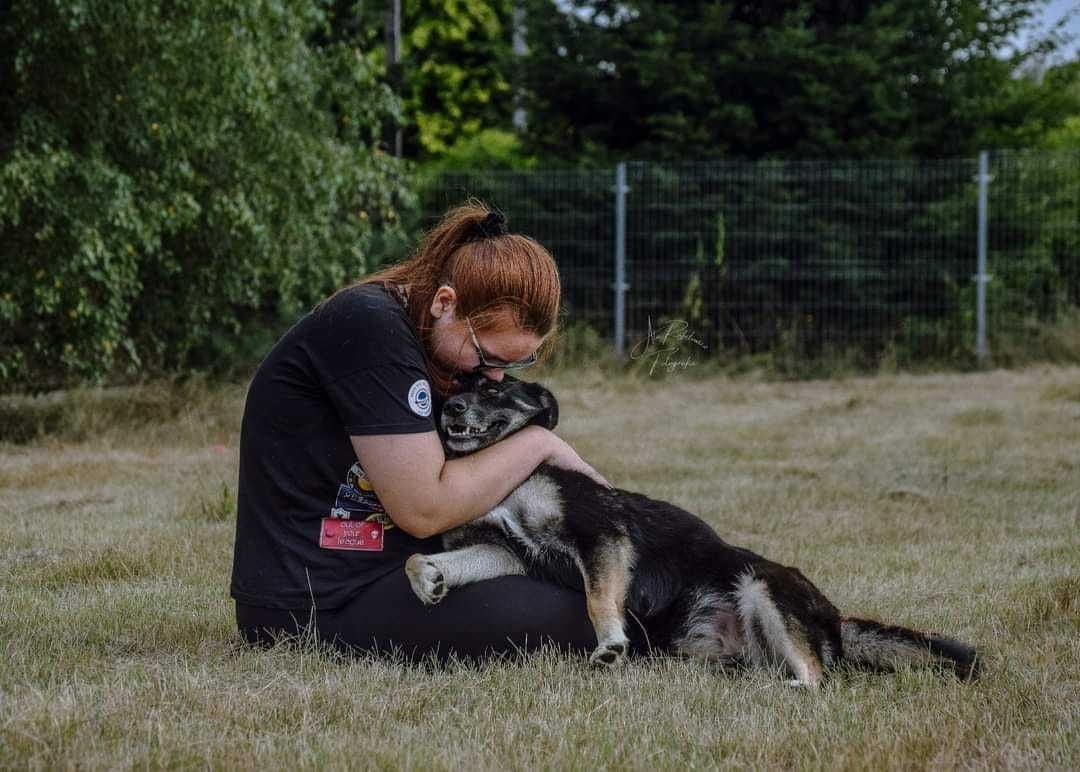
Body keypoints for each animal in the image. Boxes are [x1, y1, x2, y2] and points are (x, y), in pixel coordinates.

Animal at [406, 377, 980, 686]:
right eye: (458, 388)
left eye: (495, 389)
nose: (448, 407)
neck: (511, 478)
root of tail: (834, 617)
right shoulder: (508, 551)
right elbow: (432, 562)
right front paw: (428, 577)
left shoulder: (601, 535)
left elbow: (598, 598)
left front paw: (610, 643)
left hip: (762, 587)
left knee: (818, 678)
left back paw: (789, 691)